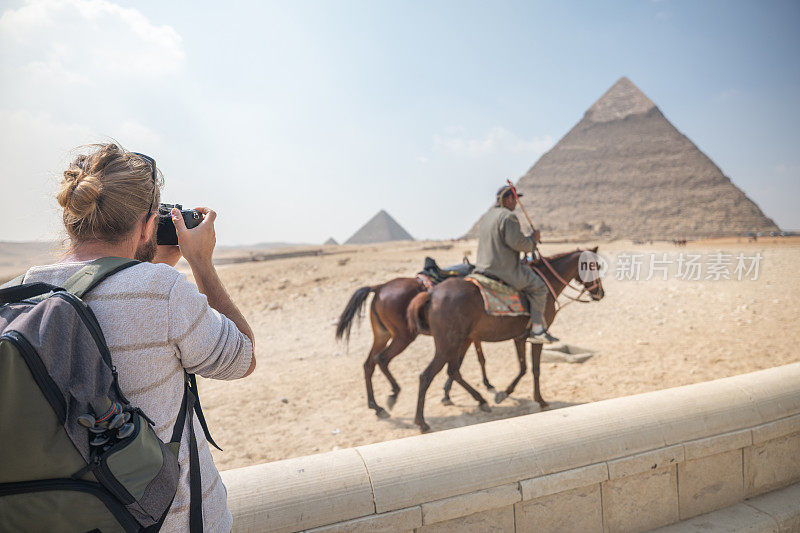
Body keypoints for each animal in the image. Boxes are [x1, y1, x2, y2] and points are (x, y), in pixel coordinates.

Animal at [334, 276, 496, 418]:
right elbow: (473, 359)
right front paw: (485, 386)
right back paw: (394, 393)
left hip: (382, 335)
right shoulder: (467, 337)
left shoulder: (468, 336)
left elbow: (474, 358)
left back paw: (376, 407)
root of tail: (379, 287)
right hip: (403, 337)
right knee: (381, 359)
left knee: (369, 364)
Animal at [410, 248, 604, 432]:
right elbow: (535, 369)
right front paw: (541, 400)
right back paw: (422, 422)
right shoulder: (538, 337)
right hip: (448, 344)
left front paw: (504, 393)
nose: (600, 293)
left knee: (453, 371)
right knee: (427, 375)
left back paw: (480, 401)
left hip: (458, 341)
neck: (547, 282)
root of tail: (431, 295)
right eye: (594, 266)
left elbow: (523, 368)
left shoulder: (519, 338)